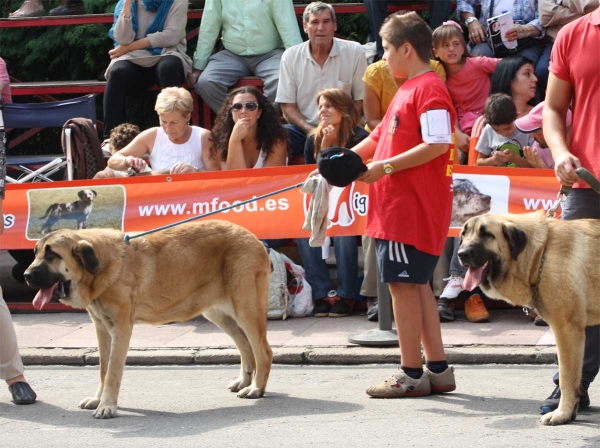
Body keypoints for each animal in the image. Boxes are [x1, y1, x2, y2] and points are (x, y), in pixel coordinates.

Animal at [23, 220, 272, 420]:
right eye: (35, 253)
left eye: (52, 254)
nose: (25, 275)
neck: (100, 267)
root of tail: (254, 238)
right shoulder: (101, 328)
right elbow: (103, 369)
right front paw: (98, 399)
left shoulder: (121, 329)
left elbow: (113, 371)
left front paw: (107, 406)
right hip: (218, 314)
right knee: (245, 345)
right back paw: (244, 381)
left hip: (246, 310)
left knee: (263, 351)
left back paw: (256, 389)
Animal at [458, 212, 596, 426]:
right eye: (464, 234)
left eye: (487, 234)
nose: (461, 254)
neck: (541, 253)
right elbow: (572, 377)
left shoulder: (567, 330)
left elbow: (566, 377)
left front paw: (562, 414)